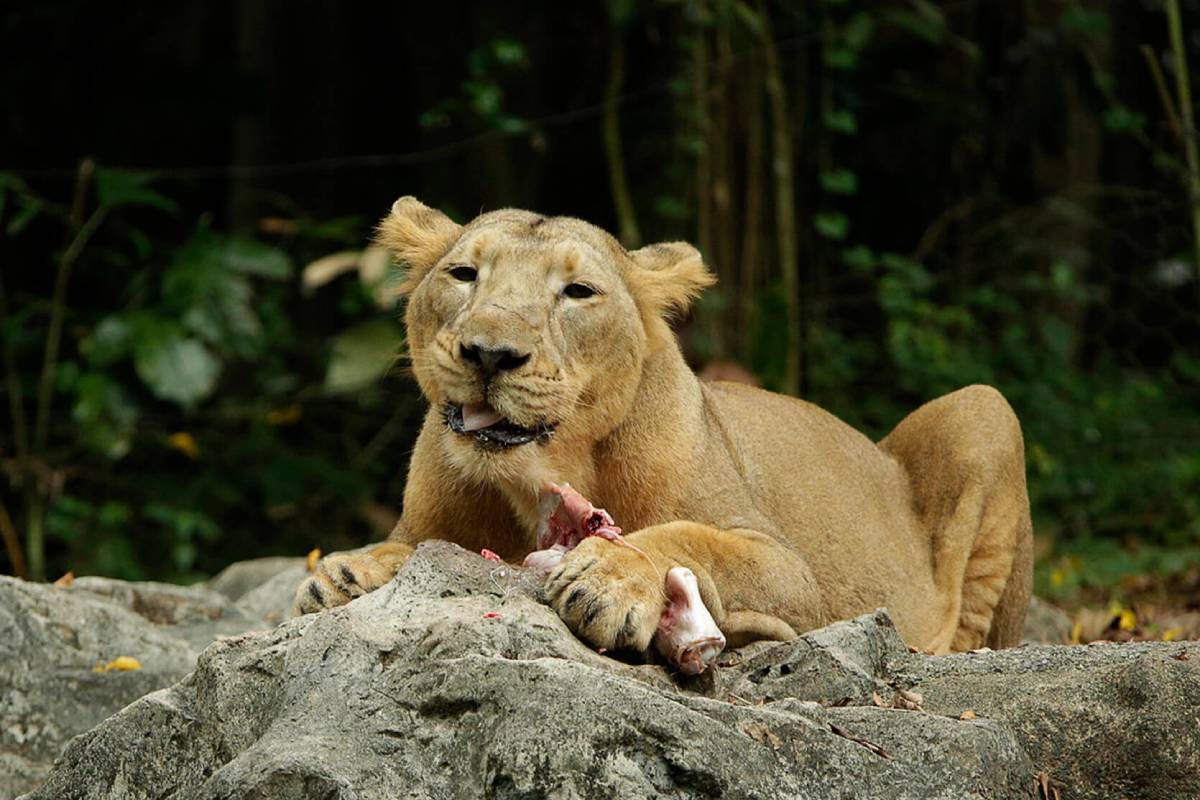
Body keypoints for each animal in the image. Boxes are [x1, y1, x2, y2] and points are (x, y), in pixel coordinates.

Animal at [293, 196, 1033, 657]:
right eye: (464, 273)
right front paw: (349, 574)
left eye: (578, 292)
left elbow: (688, 538)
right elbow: (409, 547)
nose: (490, 354)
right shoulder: (425, 526)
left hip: (983, 406)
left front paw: (611, 578)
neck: (543, 473)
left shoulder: (790, 572)